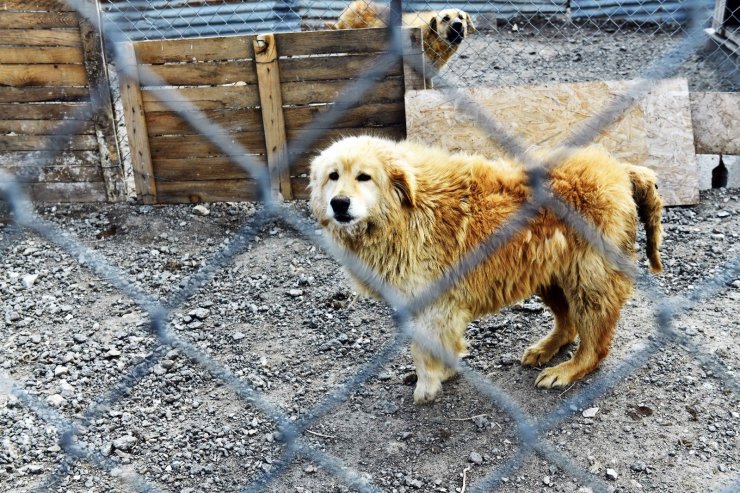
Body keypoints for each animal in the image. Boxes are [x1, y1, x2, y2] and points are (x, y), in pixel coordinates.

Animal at [308, 135, 664, 404]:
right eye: (333, 176)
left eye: (364, 177)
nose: (339, 203)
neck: (407, 210)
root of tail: (619, 169)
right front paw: (446, 370)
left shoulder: (434, 305)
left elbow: (424, 351)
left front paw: (428, 385)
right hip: (549, 273)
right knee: (568, 325)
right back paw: (546, 348)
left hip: (590, 278)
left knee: (596, 345)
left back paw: (566, 370)